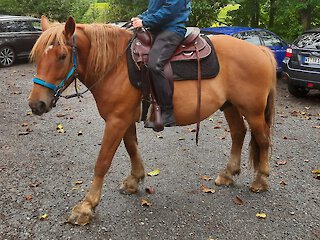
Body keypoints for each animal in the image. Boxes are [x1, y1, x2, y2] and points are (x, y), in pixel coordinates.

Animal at [27, 16, 276, 225]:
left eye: (62, 56)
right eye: (38, 56)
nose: (36, 104)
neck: (115, 66)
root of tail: (260, 50)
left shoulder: (116, 120)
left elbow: (103, 161)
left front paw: (86, 206)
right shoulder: (124, 119)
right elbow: (132, 147)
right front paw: (134, 180)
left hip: (252, 110)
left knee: (263, 139)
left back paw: (261, 180)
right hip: (230, 106)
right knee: (238, 133)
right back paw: (228, 174)